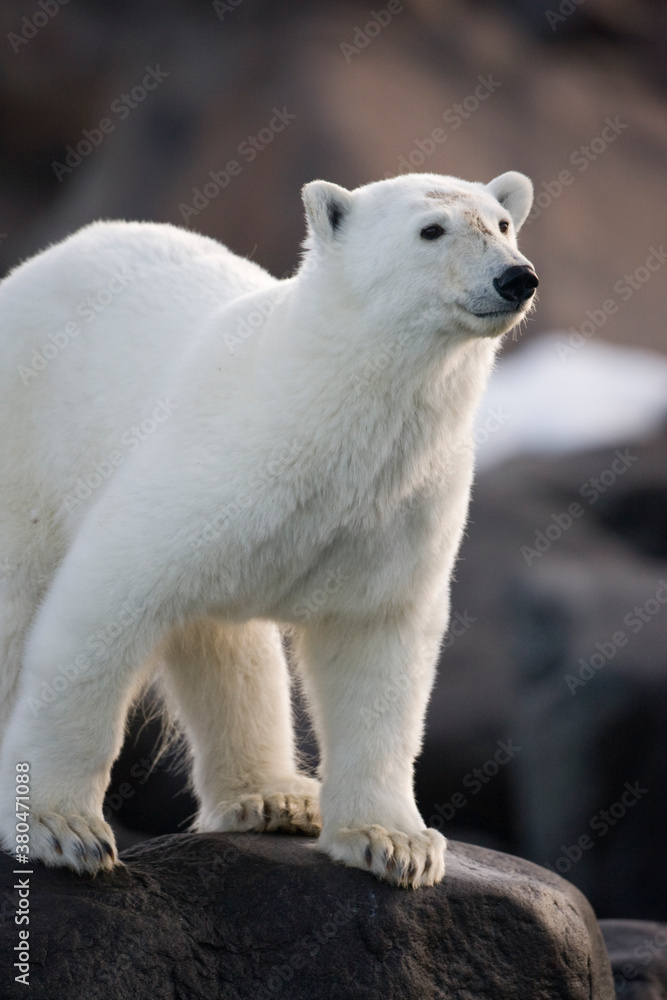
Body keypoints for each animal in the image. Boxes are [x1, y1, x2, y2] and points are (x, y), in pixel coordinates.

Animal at [0, 171, 537, 888]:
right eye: (431, 230)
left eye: (502, 223)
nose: (517, 278)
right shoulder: (205, 468)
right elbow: (103, 604)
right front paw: (60, 829)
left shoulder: (396, 510)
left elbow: (378, 648)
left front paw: (394, 842)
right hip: (26, 444)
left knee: (226, 649)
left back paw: (275, 796)